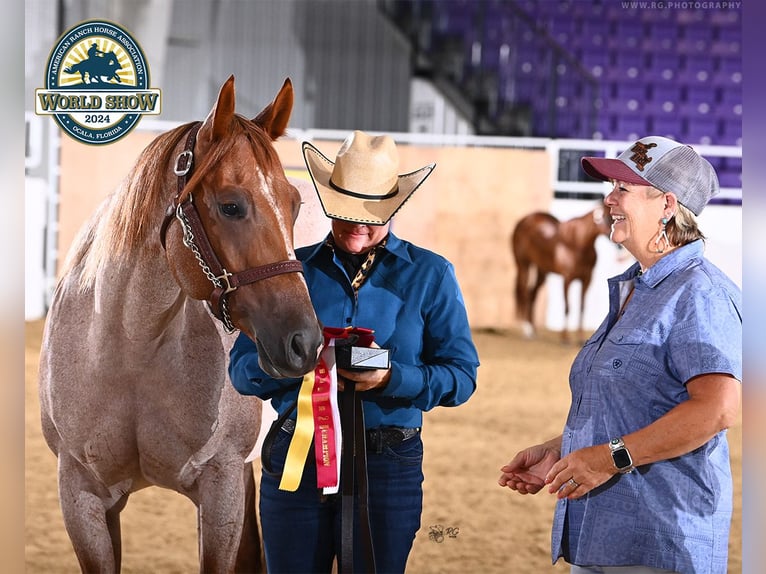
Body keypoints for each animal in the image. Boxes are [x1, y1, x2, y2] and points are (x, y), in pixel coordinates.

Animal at [38, 75, 323, 573]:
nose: (304, 342)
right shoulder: (81, 494)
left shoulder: (221, 486)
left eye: (292, 204)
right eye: (230, 206)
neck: (132, 347)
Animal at [511, 206, 612, 344]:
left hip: (542, 271)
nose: (611, 235)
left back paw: (533, 331)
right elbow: (567, 307)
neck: (577, 245)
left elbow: (582, 307)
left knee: (532, 294)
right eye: (604, 218)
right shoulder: (567, 279)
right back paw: (527, 330)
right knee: (524, 293)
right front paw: (565, 338)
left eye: (613, 217)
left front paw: (580, 338)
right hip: (523, 266)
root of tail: (524, 220)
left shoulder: (586, 280)